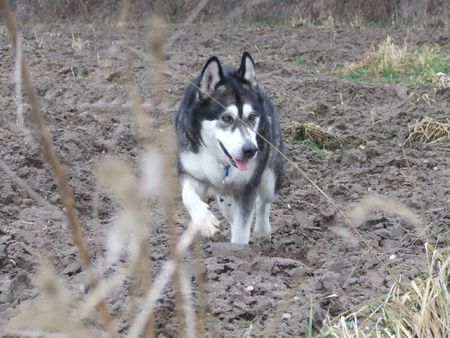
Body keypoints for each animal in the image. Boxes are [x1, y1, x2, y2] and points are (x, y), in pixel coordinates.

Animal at [174, 52, 284, 243]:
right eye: (226, 118)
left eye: (252, 117)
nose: (250, 150)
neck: (221, 163)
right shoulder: (192, 172)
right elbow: (188, 196)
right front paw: (206, 222)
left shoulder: (247, 187)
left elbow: (242, 231)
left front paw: (237, 249)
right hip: (224, 198)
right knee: (231, 215)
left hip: (271, 177)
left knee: (264, 202)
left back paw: (262, 230)